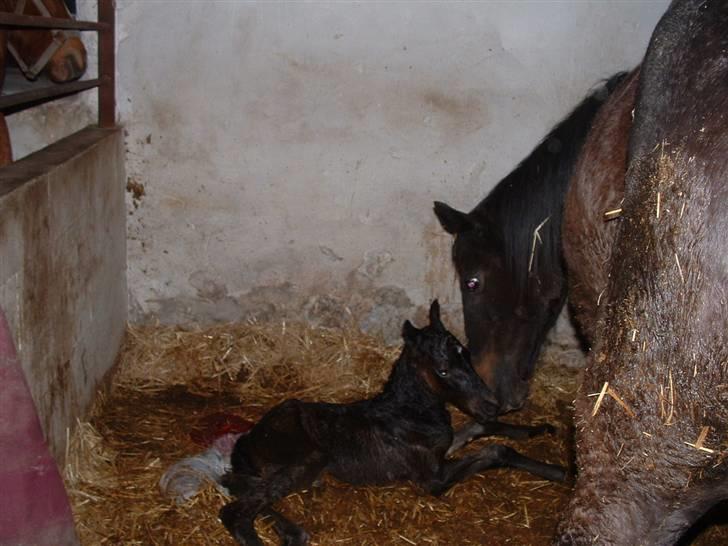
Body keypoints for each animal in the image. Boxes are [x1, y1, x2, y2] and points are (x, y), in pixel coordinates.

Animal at [218, 300, 564, 540]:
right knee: (235, 511)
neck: (408, 412)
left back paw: (293, 533)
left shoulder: (444, 446)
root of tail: (247, 440)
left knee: (240, 488)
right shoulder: (432, 478)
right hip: (309, 458)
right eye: (442, 370)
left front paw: (539, 429)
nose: (493, 404)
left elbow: (478, 427)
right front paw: (561, 471)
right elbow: (495, 451)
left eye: (466, 354)